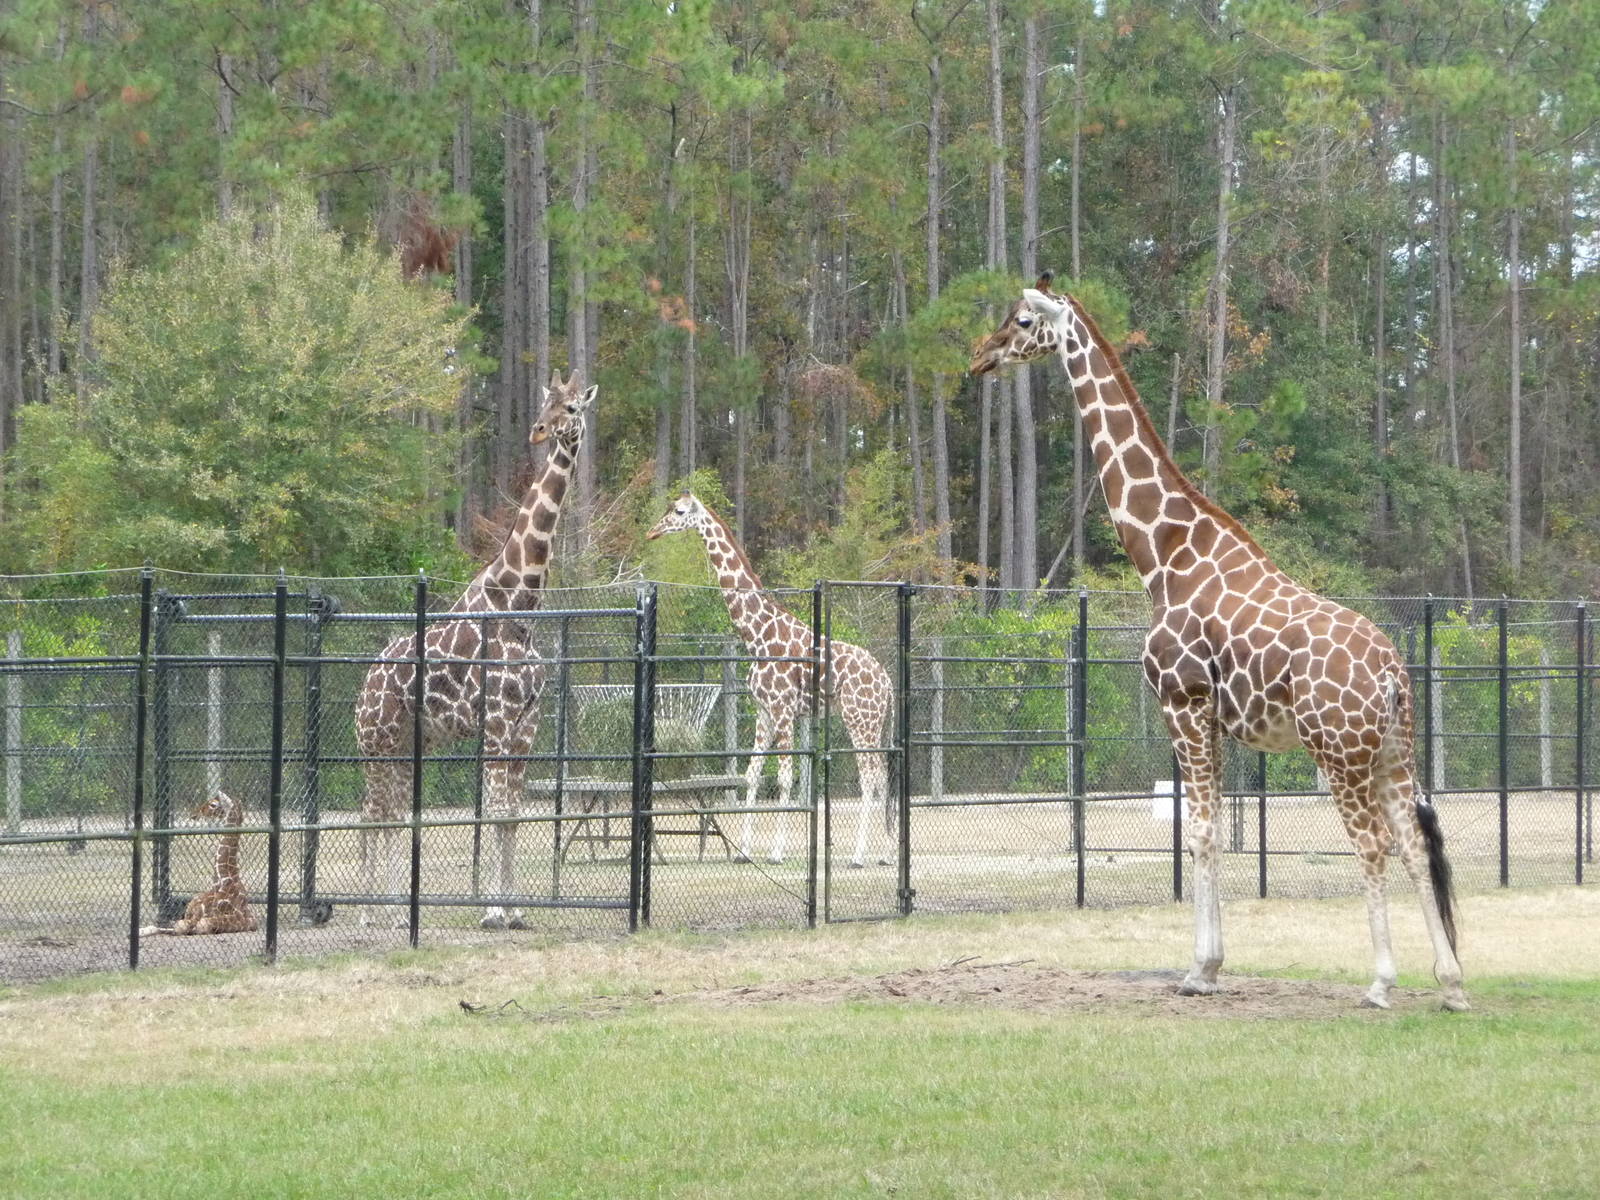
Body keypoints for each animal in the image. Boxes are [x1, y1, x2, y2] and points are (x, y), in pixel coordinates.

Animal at [355, 371, 596, 930]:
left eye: (572, 407)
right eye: (545, 403)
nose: (538, 430)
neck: (520, 605)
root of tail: (368, 678)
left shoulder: (527, 723)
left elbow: (511, 817)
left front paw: (515, 910)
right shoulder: (497, 721)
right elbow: (492, 811)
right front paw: (491, 910)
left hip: (408, 742)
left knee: (394, 813)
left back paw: (396, 909)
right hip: (374, 739)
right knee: (371, 813)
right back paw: (368, 911)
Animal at [646, 494, 894, 867]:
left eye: (678, 511)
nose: (652, 532)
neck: (756, 635)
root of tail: (887, 682)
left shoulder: (782, 709)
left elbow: (785, 778)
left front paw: (776, 852)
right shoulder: (763, 711)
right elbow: (751, 775)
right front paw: (745, 851)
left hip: (858, 719)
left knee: (869, 775)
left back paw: (859, 855)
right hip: (874, 722)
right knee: (881, 775)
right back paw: (888, 853)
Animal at [970, 275, 1467, 1011]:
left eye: (1024, 320)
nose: (982, 354)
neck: (1164, 555)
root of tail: (1391, 673)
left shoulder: (1183, 702)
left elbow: (1200, 832)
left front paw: (1199, 970)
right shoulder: (1217, 721)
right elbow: (1210, 831)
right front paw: (1211, 965)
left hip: (1339, 751)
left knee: (1372, 844)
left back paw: (1380, 983)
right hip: (1392, 751)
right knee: (1411, 841)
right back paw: (1452, 984)